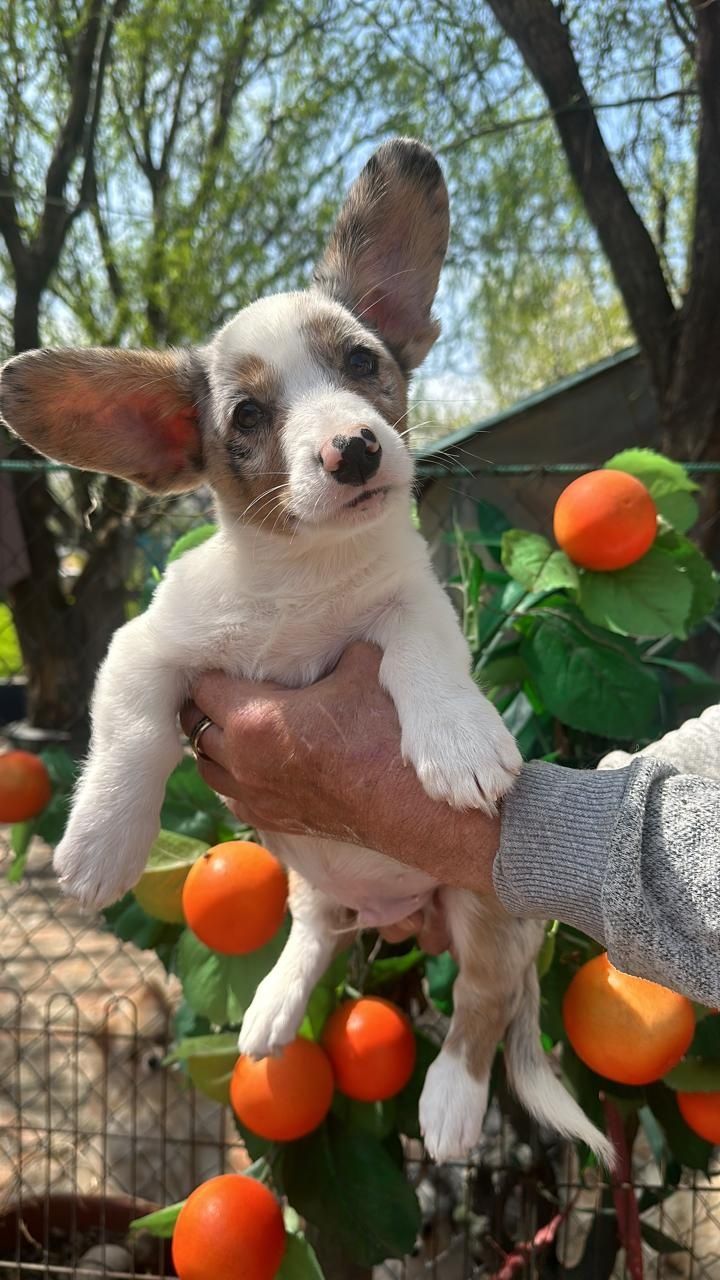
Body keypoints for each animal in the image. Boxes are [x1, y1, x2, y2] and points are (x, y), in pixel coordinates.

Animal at [0, 142, 609, 1172]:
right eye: (248, 416)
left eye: (363, 363)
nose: (355, 450)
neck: (303, 578)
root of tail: (395, 907)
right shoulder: (144, 646)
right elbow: (131, 731)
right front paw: (100, 844)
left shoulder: (417, 604)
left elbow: (419, 655)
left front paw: (458, 744)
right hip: (308, 873)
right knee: (317, 929)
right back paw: (278, 1000)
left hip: (487, 910)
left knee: (481, 1003)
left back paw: (452, 1098)